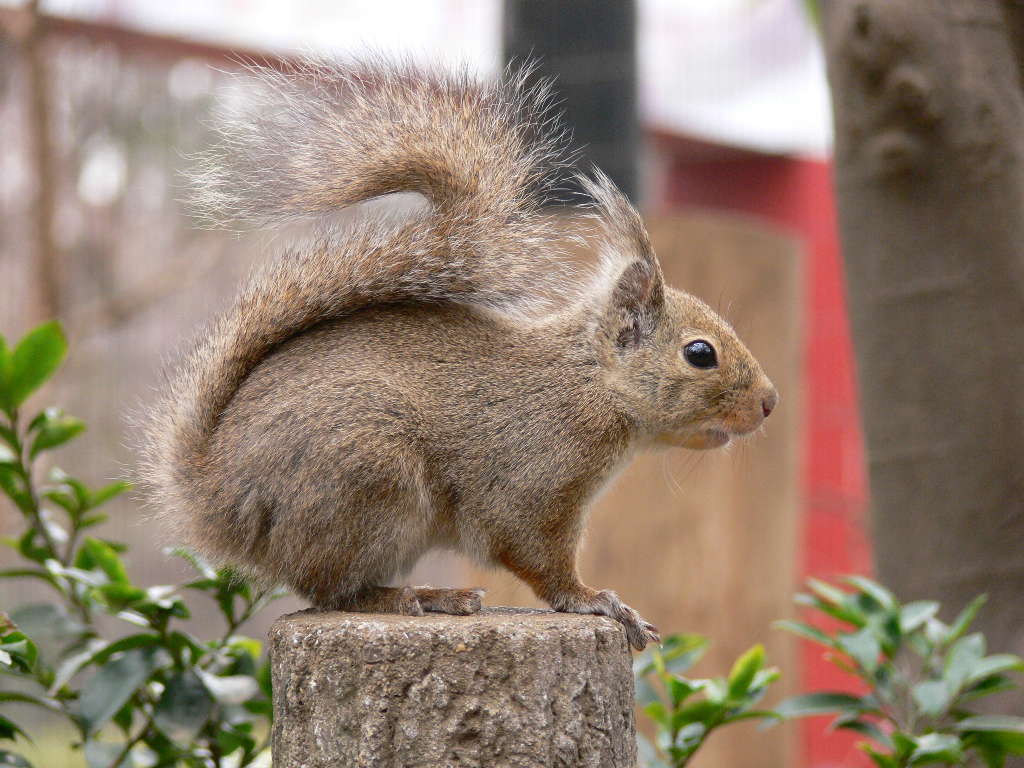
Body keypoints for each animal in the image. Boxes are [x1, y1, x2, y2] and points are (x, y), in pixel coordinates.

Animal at [144, 58, 778, 655]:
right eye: (700, 354)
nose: (769, 403)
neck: (588, 386)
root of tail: (217, 495)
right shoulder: (531, 482)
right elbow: (535, 553)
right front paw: (597, 602)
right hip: (368, 476)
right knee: (329, 589)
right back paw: (421, 596)